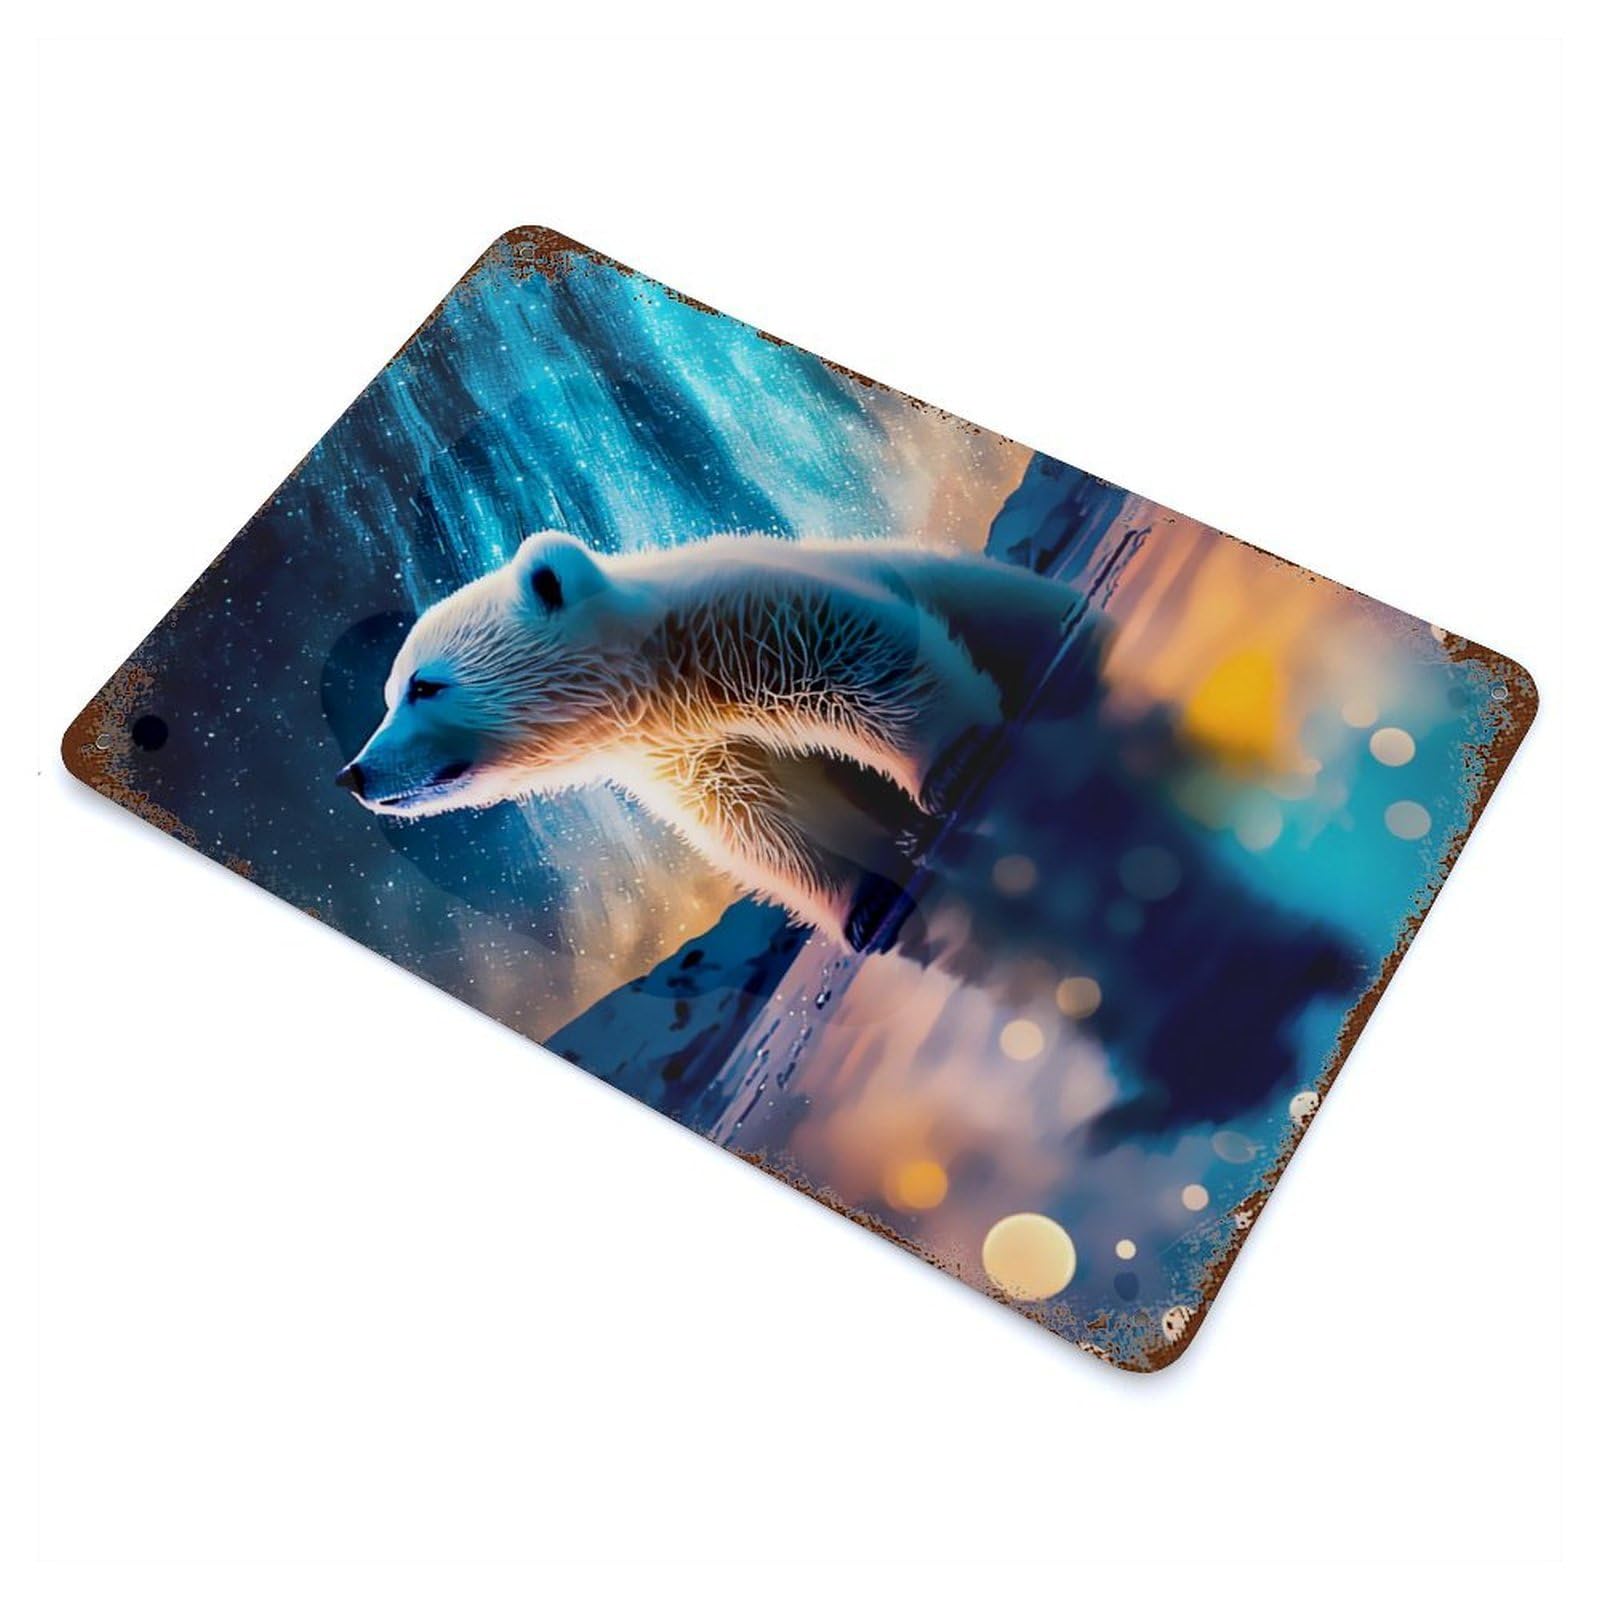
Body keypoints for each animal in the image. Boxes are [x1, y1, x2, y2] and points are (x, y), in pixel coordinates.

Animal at [336, 530, 1085, 951]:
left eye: (424, 685)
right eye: (388, 693)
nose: (355, 773)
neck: (666, 675)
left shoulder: (754, 619)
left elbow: (864, 659)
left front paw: (952, 762)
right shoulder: (679, 748)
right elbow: (748, 816)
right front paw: (865, 903)